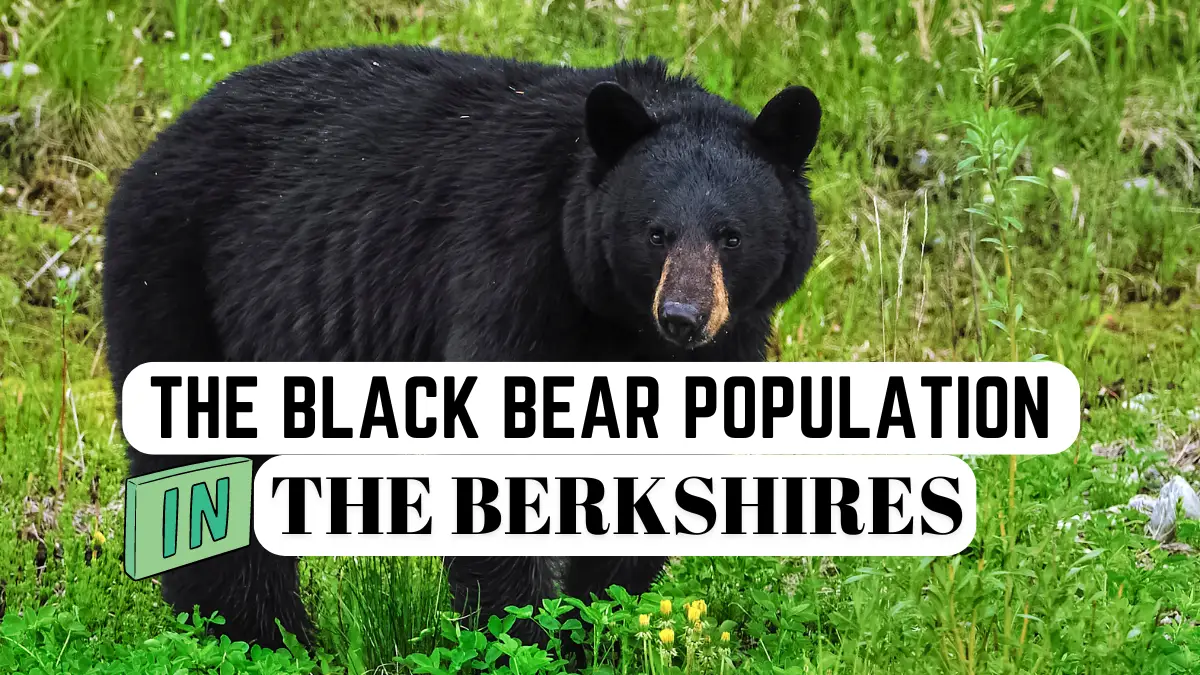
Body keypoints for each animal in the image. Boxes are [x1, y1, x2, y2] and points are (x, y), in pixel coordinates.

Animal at [102, 45, 821, 649]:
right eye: (656, 233)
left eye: (731, 235)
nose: (683, 317)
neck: (616, 321)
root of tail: (158, 142)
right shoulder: (513, 273)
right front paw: (521, 639)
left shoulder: (720, 346)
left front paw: (597, 632)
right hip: (180, 284)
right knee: (202, 470)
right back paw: (255, 635)